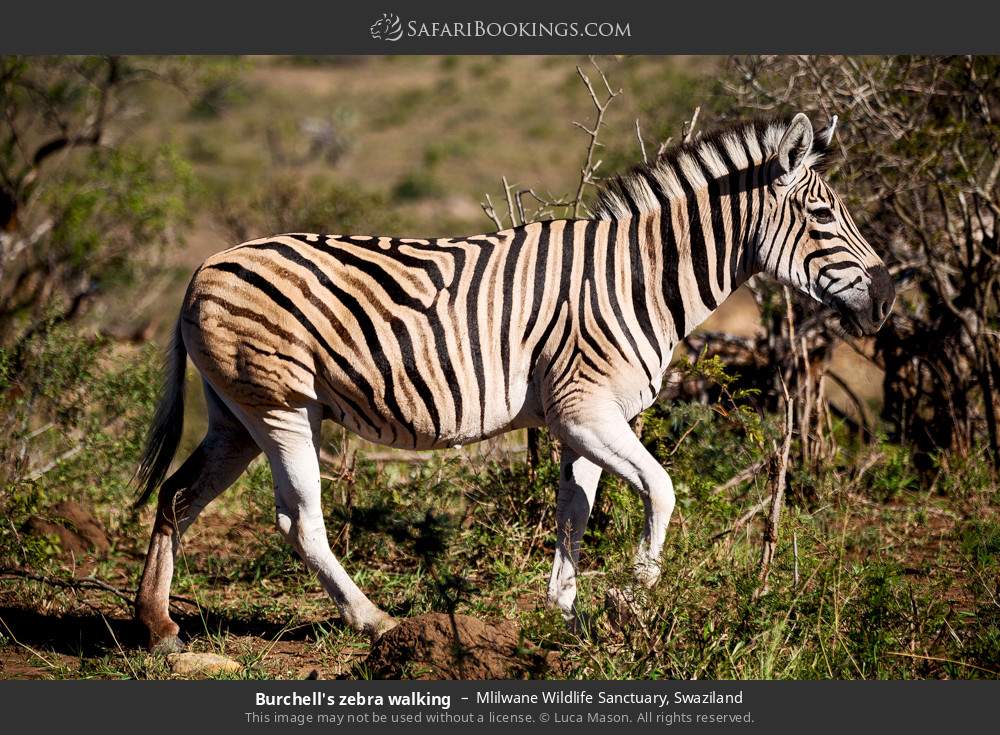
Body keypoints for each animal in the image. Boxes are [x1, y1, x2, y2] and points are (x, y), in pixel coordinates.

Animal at [134, 112, 895, 652]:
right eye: (822, 216)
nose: (888, 298)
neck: (642, 278)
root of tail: (203, 267)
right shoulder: (586, 410)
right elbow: (662, 489)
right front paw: (634, 602)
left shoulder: (579, 418)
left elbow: (574, 511)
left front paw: (565, 614)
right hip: (281, 406)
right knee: (298, 519)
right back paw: (374, 621)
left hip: (236, 414)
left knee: (176, 496)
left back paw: (158, 626)